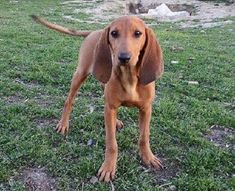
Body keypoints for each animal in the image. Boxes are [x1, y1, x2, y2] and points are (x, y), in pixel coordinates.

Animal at [31, 14, 163, 182]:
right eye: (114, 33)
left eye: (138, 33)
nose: (123, 57)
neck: (129, 77)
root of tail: (94, 32)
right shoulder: (111, 108)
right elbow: (112, 143)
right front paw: (108, 167)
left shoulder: (146, 109)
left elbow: (144, 137)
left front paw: (148, 157)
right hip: (80, 74)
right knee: (69, 100)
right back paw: (63, 124)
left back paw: (116, 121)